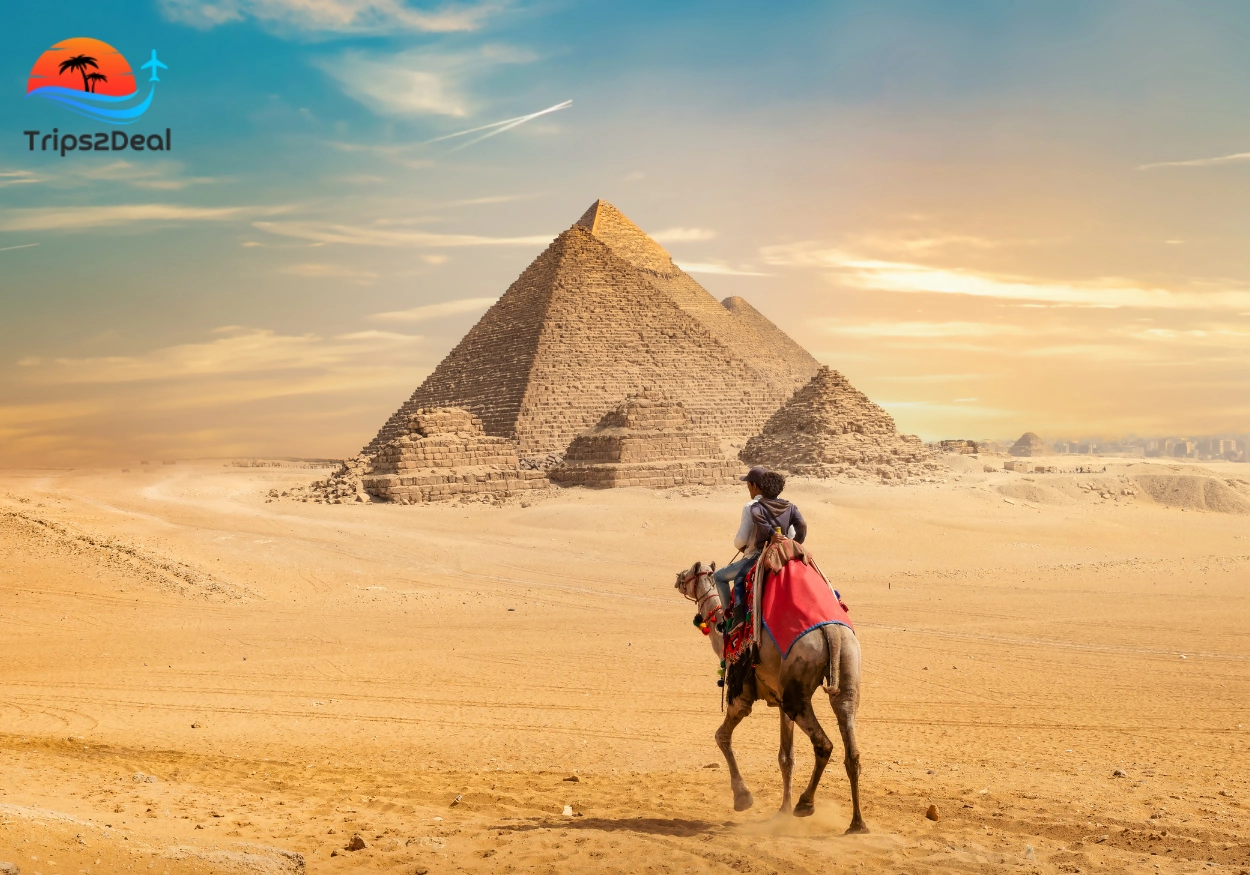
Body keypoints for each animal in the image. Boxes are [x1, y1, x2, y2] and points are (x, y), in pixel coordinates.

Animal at [675, 560, 870, 835]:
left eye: (689, 574)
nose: (678, 578)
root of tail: (831, 632)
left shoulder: (741, 695)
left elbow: (721, 736)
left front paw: (743, 798)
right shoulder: (779, 701)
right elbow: (786, 758)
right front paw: (782, 811)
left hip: (797, 687)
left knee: (824, 744)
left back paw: (805, 804)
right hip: (846, 665)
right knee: (851, 743)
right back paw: (857, 824)